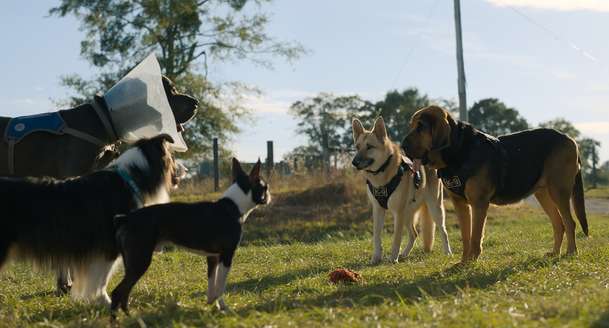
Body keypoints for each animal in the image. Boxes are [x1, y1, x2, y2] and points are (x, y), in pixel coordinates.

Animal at [0, 135, 179, 304]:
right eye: (173, 156)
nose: (183, 170)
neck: (131, 178)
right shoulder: (108, 245)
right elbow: (101, 280)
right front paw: (105, 302)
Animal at [110, 158, 270, 316]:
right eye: (265, 187)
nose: (269, 196)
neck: (234, 206)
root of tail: (126, 218)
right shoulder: (226, 255)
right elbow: (220, 286)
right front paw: (224, 308)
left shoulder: (213, 257)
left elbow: (212, 283)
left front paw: (211, 303)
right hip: (140, 260)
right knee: (117, 292)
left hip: (131, 263)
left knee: (124, 293)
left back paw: (129, 316)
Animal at [402, 106, 588, 262]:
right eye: (411, 125)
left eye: (420, 127)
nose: (402, 146)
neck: (458, 151)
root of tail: (571, 140)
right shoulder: (460, 203)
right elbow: (466, 236)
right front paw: (464, 262)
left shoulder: (479, 203)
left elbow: (475, 235)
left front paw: (472, 260)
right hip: (543, 194)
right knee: (559, 224)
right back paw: (555, 253)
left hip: (559, 191)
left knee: (569, 223)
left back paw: (571, 253)